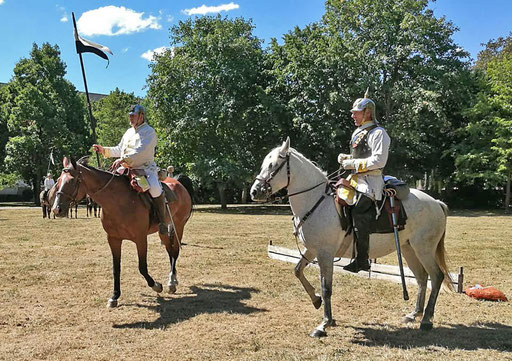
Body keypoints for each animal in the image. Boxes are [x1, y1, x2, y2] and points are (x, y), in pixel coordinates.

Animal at [52, 155, 193, 306]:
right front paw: (115, 296)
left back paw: (172, 282)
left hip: (178, 227)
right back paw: (173, 280)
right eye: (58, 181)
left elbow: (142, 267)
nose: (56, 209)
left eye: (71, 181)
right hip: (164, 232)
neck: (118, 201)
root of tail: (179, 185)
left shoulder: (140, 239)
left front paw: (156, 285)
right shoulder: (113, 239)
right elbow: (116, 268)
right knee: (170, 251)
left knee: (175, 251)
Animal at [249, 136, 452, 336]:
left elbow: (326, 288)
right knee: (422, 277)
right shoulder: (312, 250)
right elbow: (298, 270)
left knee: (436, 276)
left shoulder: (325, 254)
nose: (254, 191)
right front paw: (316, 300)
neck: (316, 202)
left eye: (273, 165)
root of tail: (437, 203)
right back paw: (414, 314)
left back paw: (426, 319)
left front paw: (324, 323)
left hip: (424, 248)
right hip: (408, 248)